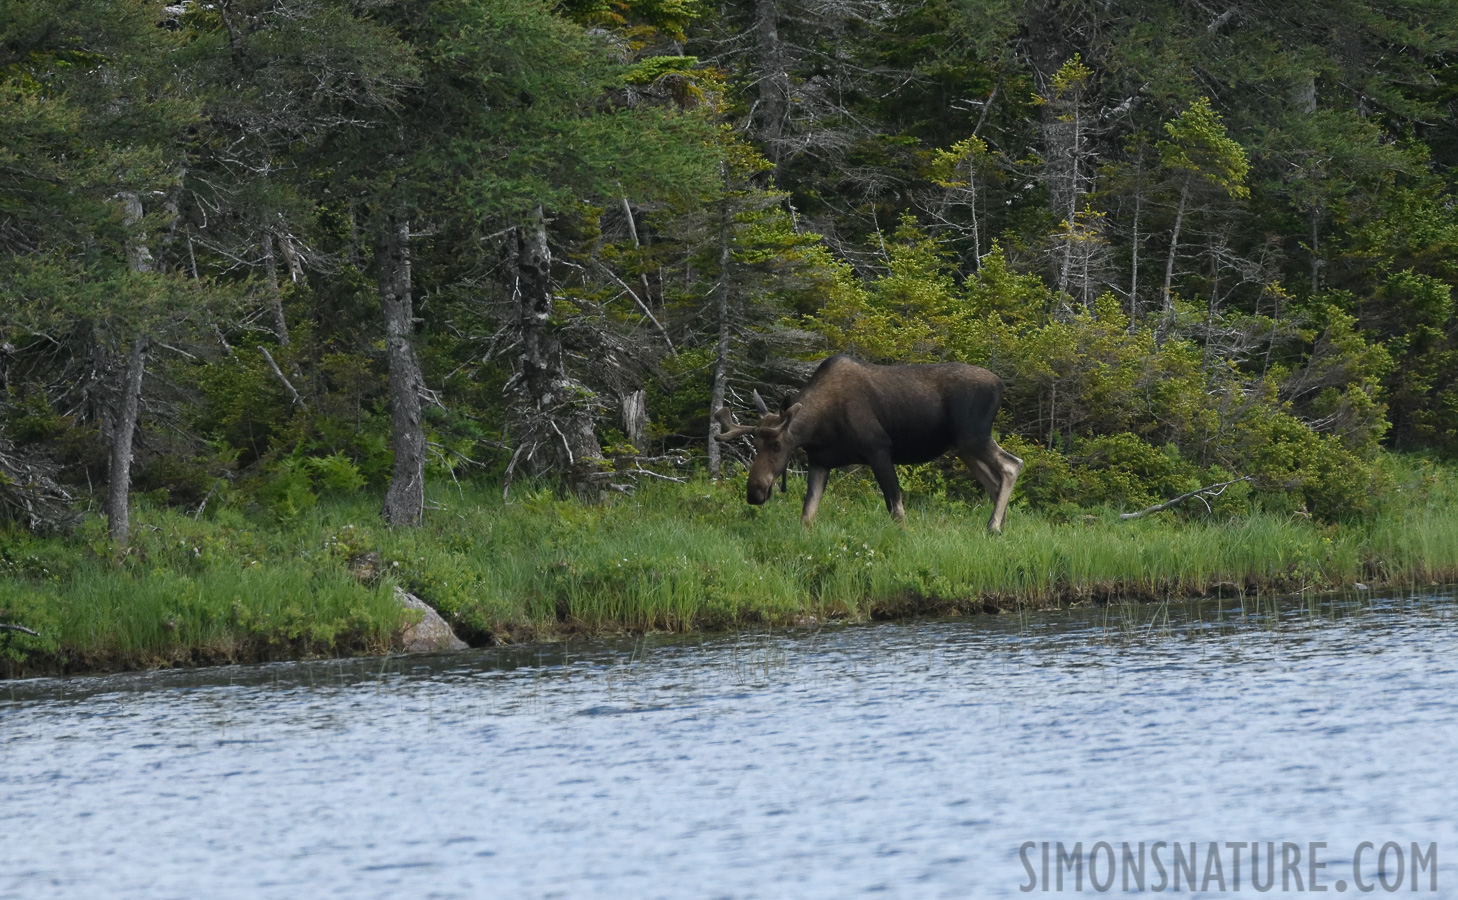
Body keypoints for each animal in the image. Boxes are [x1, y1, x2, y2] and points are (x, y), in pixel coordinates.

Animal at [711, 352, 1020, 530]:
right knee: (994, 481)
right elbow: (807, 515)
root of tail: (1001, 385)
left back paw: (993, 527)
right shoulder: (820, 461)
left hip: (974, 436)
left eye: (777, 445)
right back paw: (1000, 527)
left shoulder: (878, 450)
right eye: (755, 445)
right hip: (963, 447)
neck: (818, 427)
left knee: (1012, 465)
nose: (755, 492)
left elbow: (897, 511)